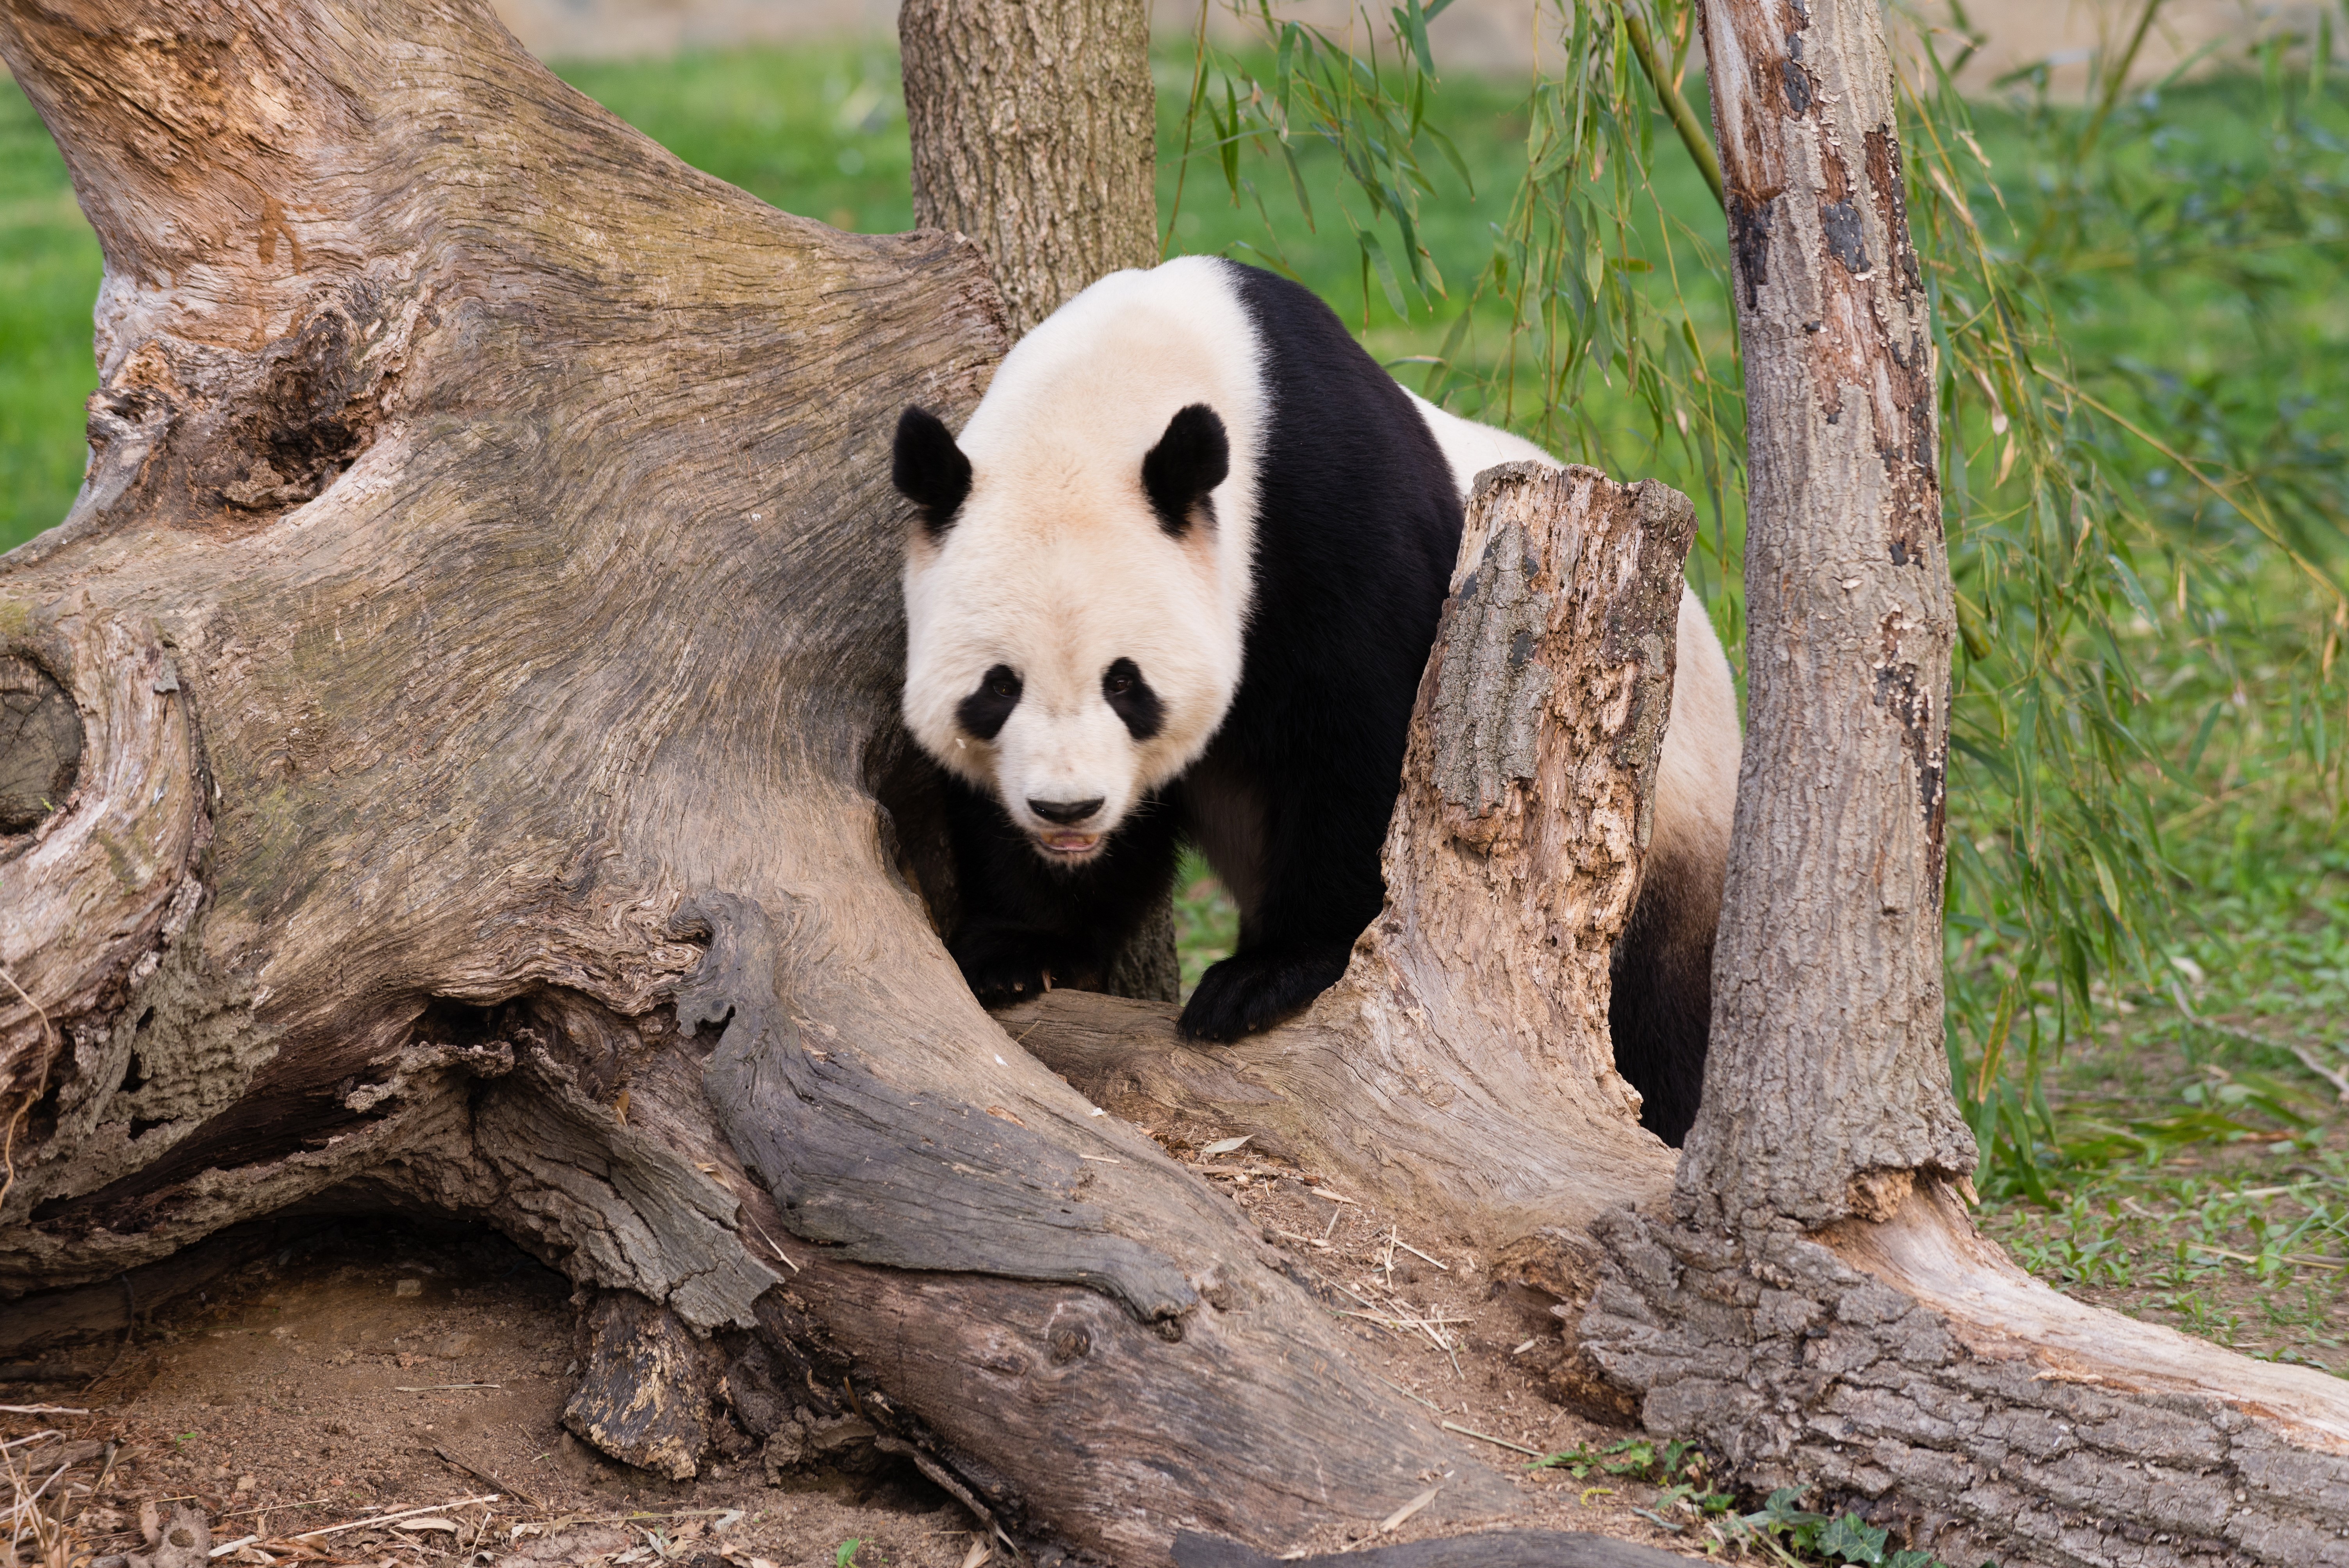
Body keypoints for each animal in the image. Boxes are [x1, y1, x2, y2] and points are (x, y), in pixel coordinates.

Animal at [892, 255, 1741, 1146]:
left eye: (1125, 684)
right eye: (998, 688)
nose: (1067, 810)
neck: (1113, 391)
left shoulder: (1329, 513)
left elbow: (1363, 737)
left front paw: (1267, 977)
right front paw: (1021, 948)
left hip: (1666, 815)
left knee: (1658, 1010)